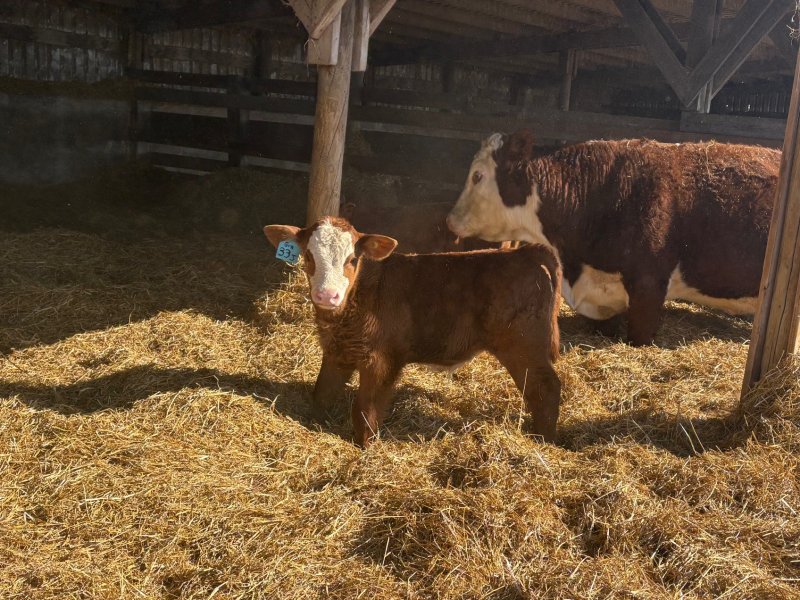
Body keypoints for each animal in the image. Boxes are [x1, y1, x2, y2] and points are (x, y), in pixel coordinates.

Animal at [263, 217, 562, 447]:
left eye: (352, 259)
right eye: (308, 255)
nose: (327, 295)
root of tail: (524, 253)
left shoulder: (381, 360)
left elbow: (365, 410)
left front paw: (364, 447)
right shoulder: (337, 351)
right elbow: (322, 394)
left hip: (522, 346)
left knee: (545, 388)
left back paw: (543, 440)